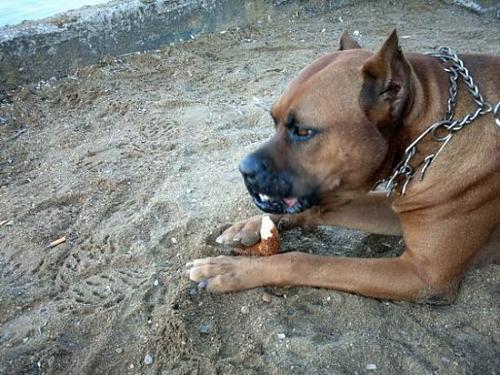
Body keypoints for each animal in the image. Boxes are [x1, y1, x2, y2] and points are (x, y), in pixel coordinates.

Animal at [186, 30, 498, 304]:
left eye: (303, 131)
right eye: (273, 120)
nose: (244, 169)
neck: (431, 133)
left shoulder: (424, 275)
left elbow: (305, 261)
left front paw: (232, 270)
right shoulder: (396, 207)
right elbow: (322, 207)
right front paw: (251, 224)